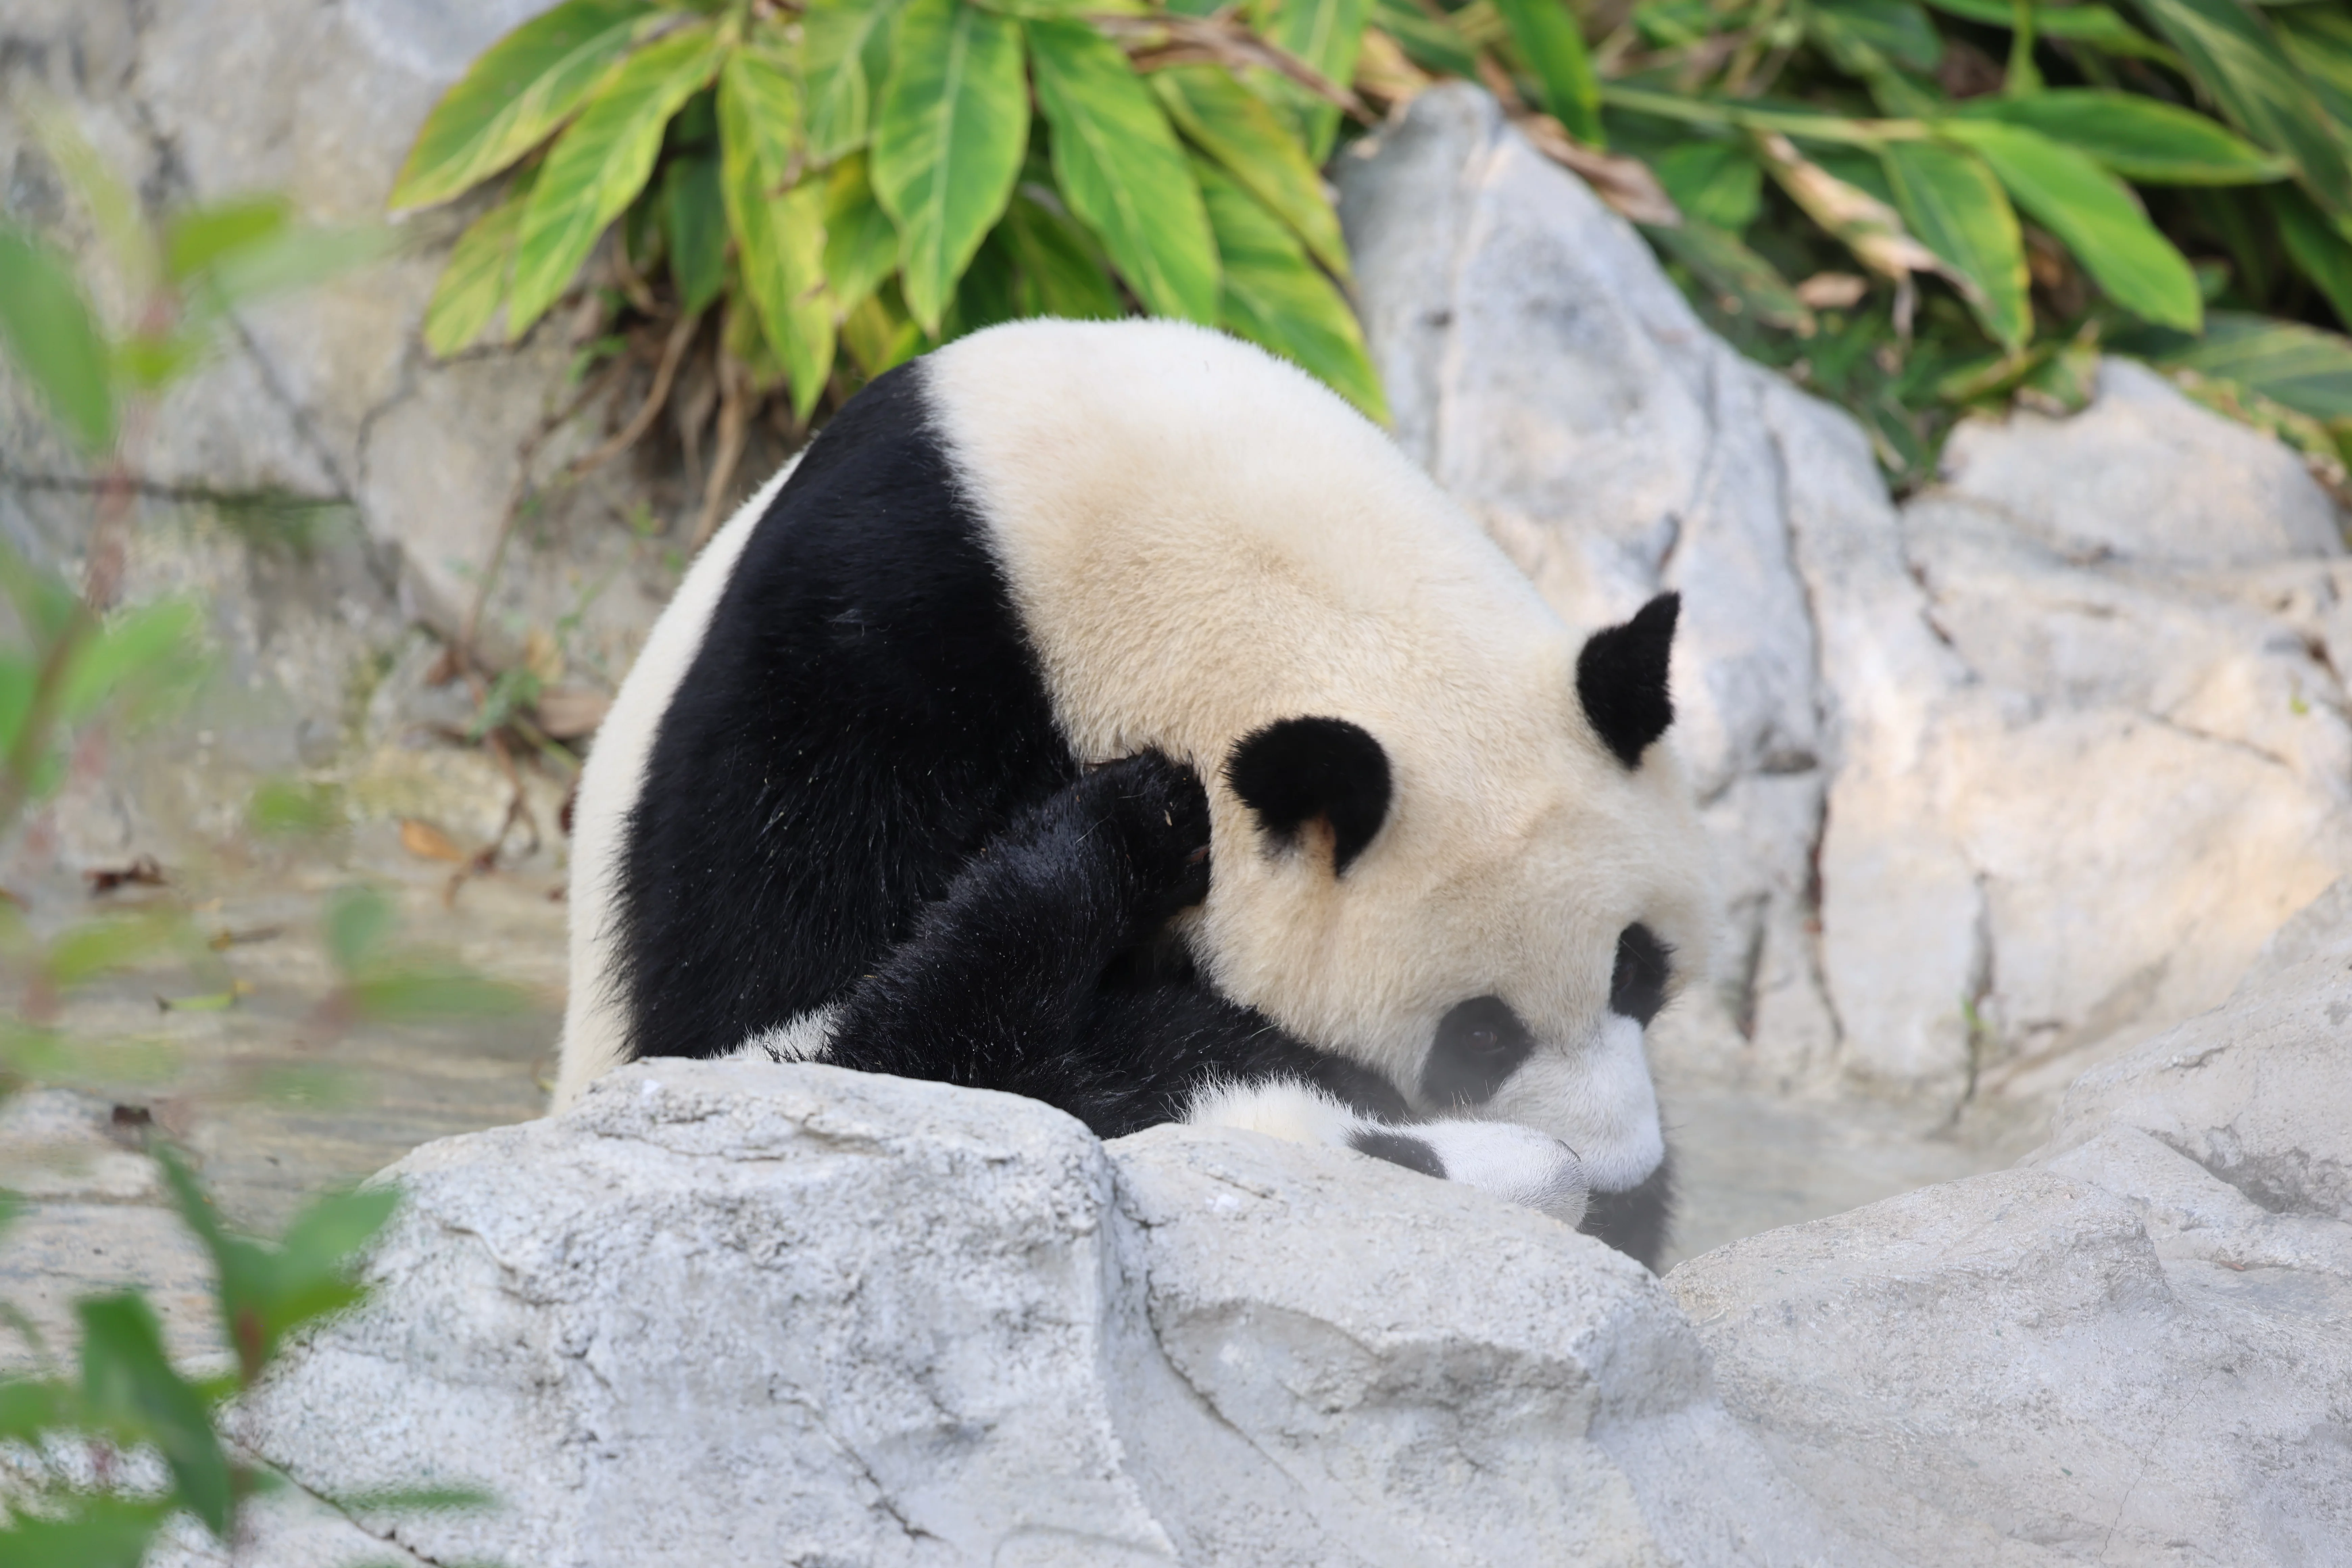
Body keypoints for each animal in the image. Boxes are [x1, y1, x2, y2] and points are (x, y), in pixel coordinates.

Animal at [554, 318, 1709, 1268]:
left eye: (1639, 969)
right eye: (1478, 1036)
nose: (1613, 1176)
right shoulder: (862, 650)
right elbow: (782, 983)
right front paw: (1131, 831)